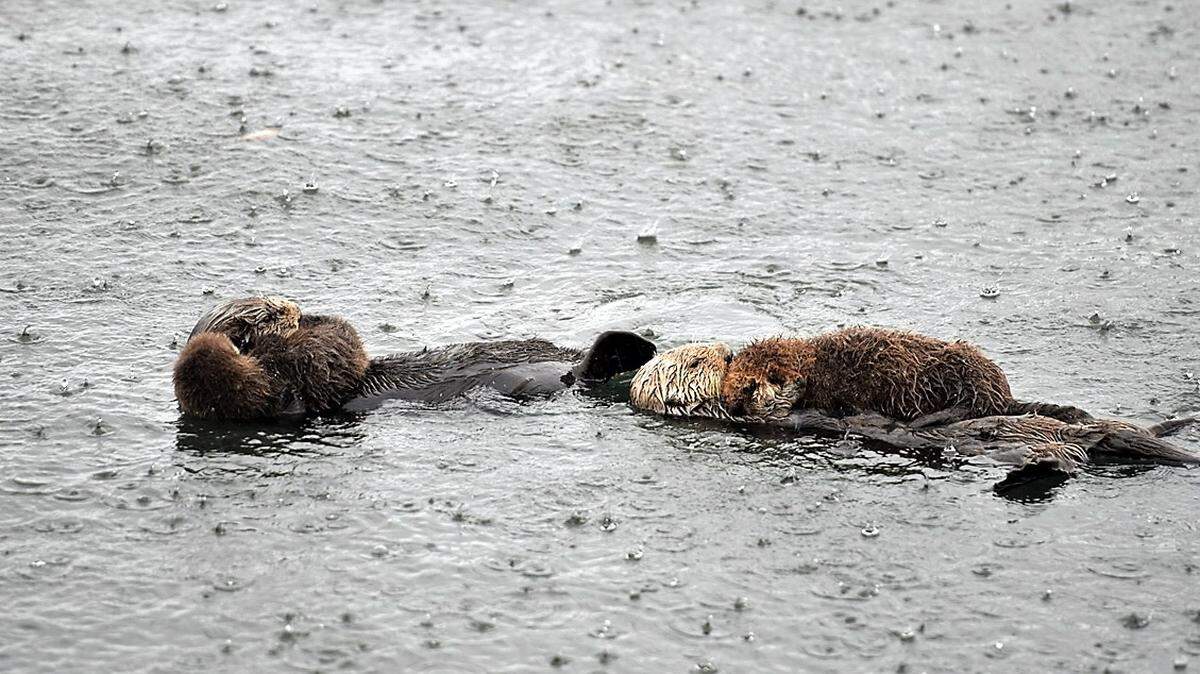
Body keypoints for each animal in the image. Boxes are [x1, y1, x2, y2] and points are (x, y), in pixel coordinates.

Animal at [175, 297, 657, 420]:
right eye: (272, 313)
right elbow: (338, 349)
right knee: (585, 373)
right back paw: (633, 348)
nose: (294, 307)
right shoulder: (294, 388)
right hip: (554, 379)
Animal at [720, 327, 1091, 424]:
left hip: (965, 374)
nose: (734, 406)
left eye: (749, 388)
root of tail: (1004, 393)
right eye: (732, 395)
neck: (814, 365)